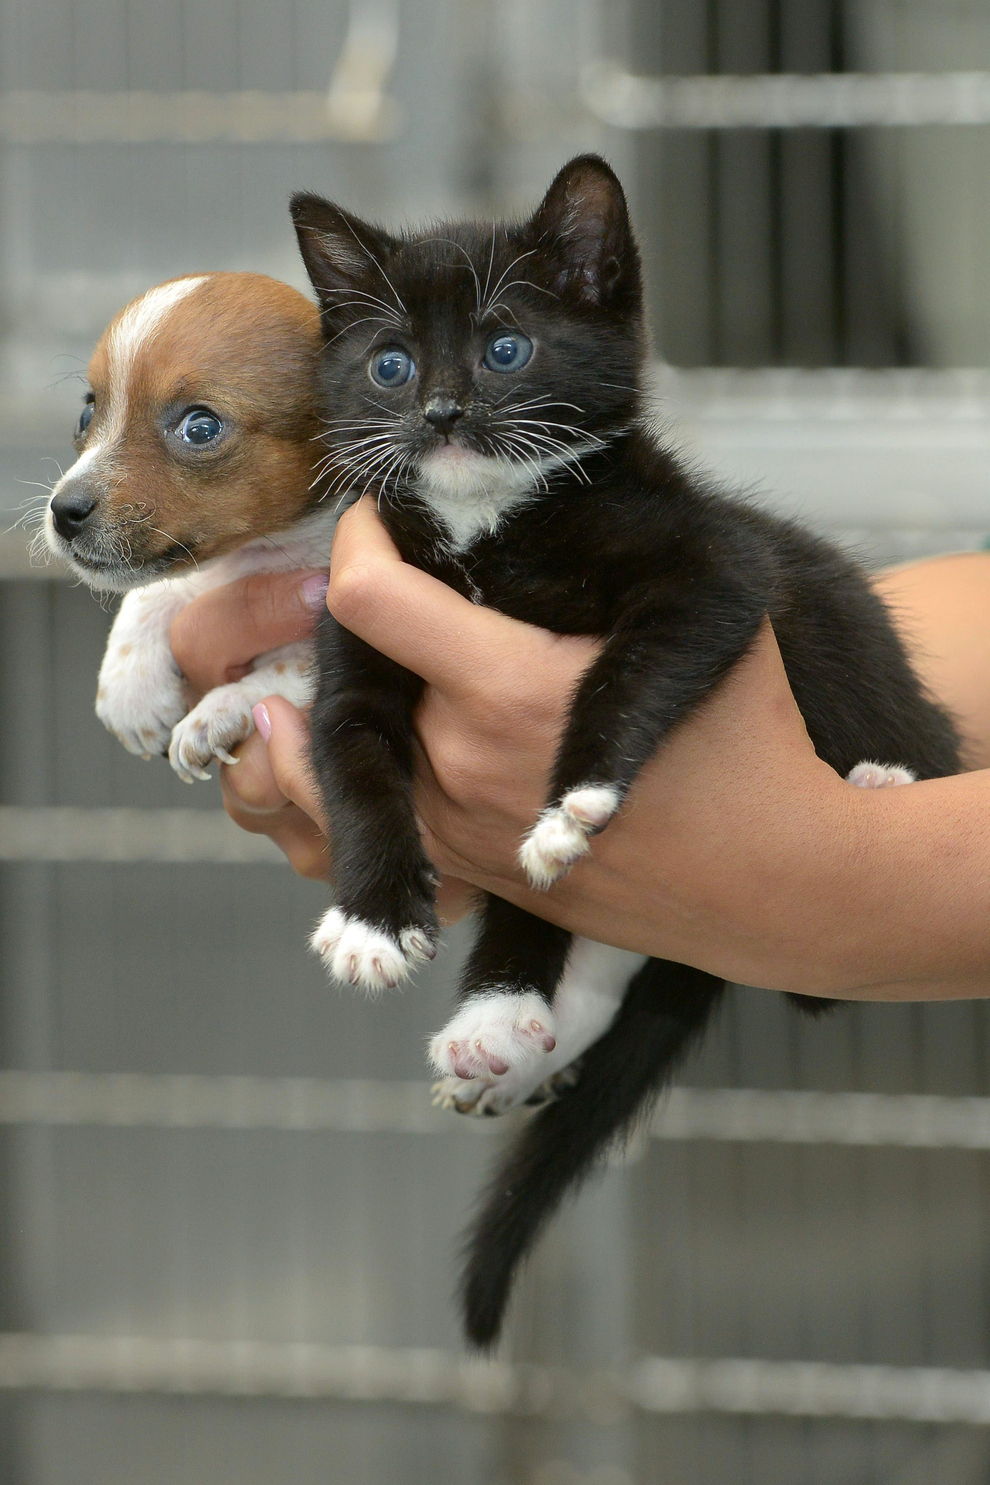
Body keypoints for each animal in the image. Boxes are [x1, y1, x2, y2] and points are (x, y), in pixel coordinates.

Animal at [44, 271, 336, 778]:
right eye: (87, 411)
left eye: (201, 428)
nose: (63, 511)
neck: (262, 553)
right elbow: (154, 592)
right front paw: (130, 685)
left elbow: (296, 667)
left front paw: (218, 711)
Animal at [290, 156, 961, 1354]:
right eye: (390, 362)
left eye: (507, 346)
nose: (442, 409)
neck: (485, 527)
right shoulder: (360, 632)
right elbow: (351, 755)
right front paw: (371, 916)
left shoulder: (716, 567)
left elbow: (631, 668)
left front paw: (573, 798)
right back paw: (501, 1023)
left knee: (823, 977)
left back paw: (880, 779)